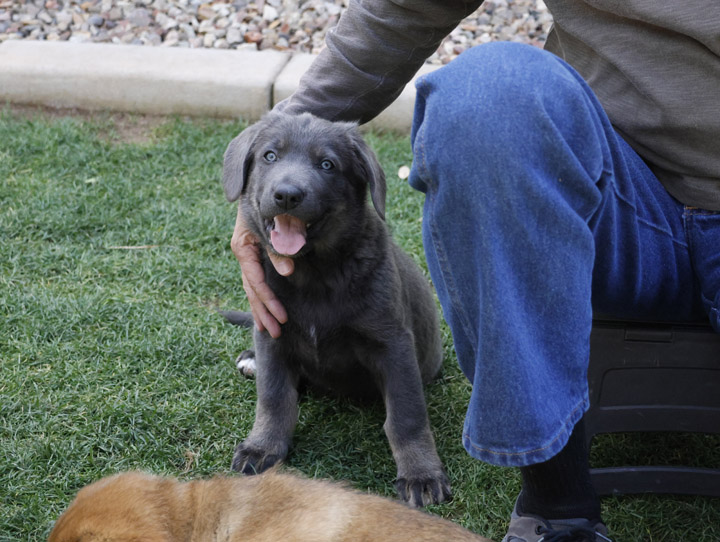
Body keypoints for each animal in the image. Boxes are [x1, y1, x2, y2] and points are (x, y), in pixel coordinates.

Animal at [219, 112, 450, 508]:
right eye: (269, 156)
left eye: (327, 165)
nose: (287, 195)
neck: (314, 275)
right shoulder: (271, 331)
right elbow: (274, 397)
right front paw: (263, 447)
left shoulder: (394, 343)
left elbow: (407, 416)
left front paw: (421, 473)